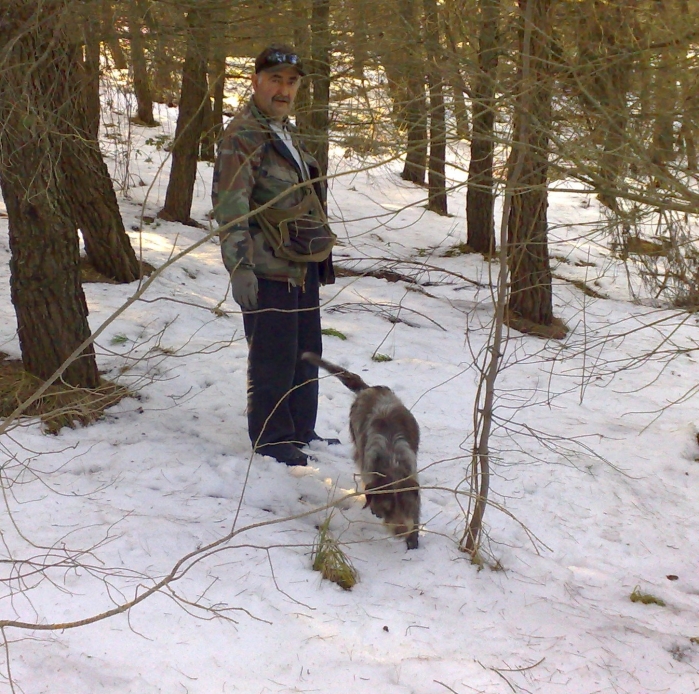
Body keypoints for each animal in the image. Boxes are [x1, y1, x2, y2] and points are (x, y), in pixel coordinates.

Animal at [302, 354, 422, 548]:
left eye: (406, 506)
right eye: (387, 509)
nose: (400, 532)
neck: (391, 462)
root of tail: (369, 389)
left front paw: (413, 541)